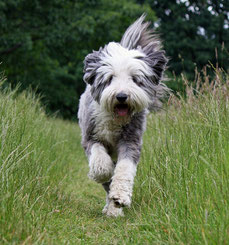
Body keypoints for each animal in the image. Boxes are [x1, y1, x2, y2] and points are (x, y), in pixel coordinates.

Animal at [78, 14, 167, 216]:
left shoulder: (131, 140)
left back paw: (113, 209)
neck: (114, 119)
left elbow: (124, 169)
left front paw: (119, 198)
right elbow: (101, 163)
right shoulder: (91, 136)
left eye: (135, 79)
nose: (121, 96)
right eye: (110, 78)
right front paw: (102, 173)